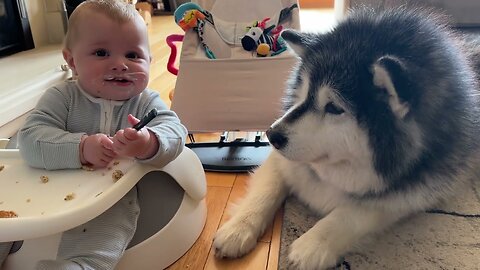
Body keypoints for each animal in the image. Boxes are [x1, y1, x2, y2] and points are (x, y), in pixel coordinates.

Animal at [214, 6, 480, 270]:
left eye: (334, 107)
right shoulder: (283, 160)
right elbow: (267, 190)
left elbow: (356, 211)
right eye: (306, 93)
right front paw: (237, 229)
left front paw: (312, 244)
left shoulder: (416, 189)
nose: (271, 135)